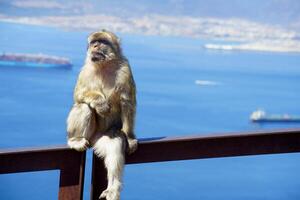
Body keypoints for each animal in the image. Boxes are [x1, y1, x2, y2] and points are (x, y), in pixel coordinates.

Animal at [66, 29, 138, 200]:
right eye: (93, 42)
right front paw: (100, 102)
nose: (95, 46)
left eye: (102, 42)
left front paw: (130, 137)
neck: (104, 65)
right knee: (83, 107)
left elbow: (127, 103)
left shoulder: (125, 70)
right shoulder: (85, 70)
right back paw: (75, 140)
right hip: (90, 133)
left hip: (101, 137)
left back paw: (113, 188)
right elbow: (78, 95)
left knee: (114, 142)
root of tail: (92, 139)